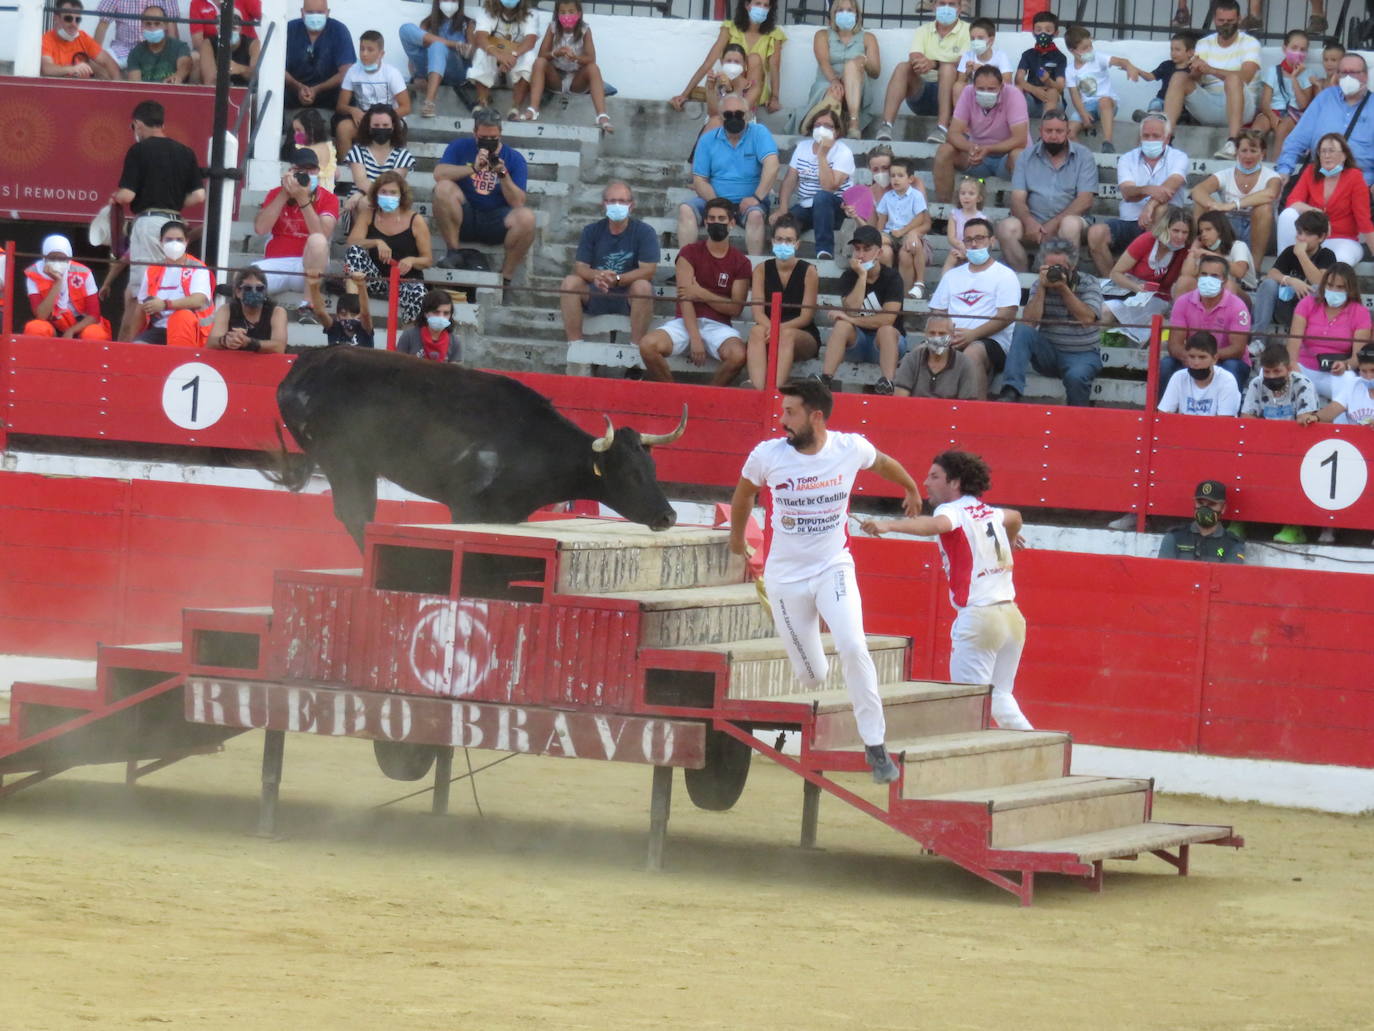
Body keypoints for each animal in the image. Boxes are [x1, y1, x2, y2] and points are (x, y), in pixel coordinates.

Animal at [263, 347, 687, 549]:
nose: (668, 516)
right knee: (356, 514)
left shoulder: (506, 515)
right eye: (628, 474)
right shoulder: (467, 507)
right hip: (342, 461)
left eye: (652, 470)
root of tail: (303, 364)